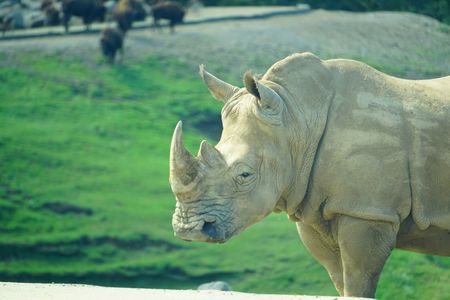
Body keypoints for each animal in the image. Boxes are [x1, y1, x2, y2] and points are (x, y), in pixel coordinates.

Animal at [170, 52, 450, 298]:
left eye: (245, 174)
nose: (188, 229)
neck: (297, 119)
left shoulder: (368, 211)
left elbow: (359, 278)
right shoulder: (315, 210)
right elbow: (340, 278)